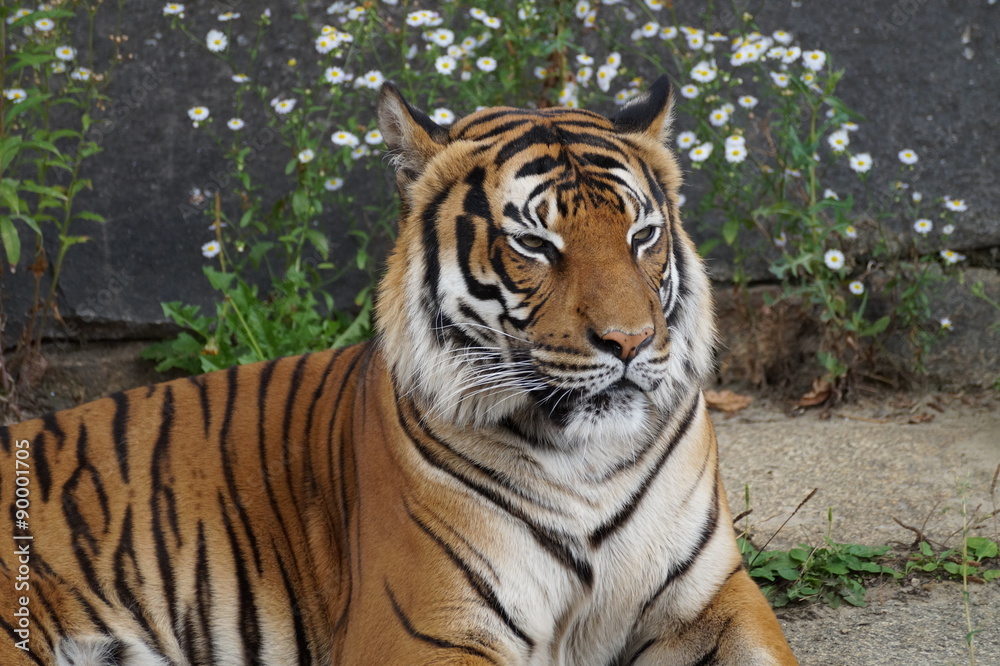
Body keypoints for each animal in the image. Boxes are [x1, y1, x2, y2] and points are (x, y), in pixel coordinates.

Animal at [0, 76, 797, 665]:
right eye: (535, 244)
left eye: (642, 235)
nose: (630, 342)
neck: (587, 459)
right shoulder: (420, 626)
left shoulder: (713, 598)